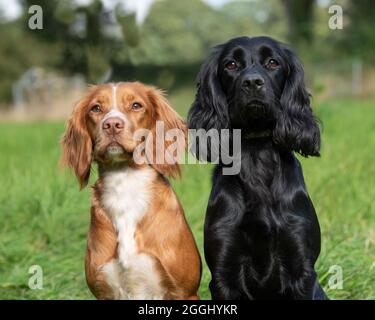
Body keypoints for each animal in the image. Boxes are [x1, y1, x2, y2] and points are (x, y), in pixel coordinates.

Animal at [61, 81, 203, 298]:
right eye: (96, 108)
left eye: (136, 105)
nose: (112, 124)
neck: (124, 186)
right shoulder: (104, 291)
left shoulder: (185, 291)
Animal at [189, 37, 328, 300]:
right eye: (231, 64)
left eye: (273, 62)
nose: (253, 82)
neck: (256, 151)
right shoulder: (224, 272)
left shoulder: (301, 269)